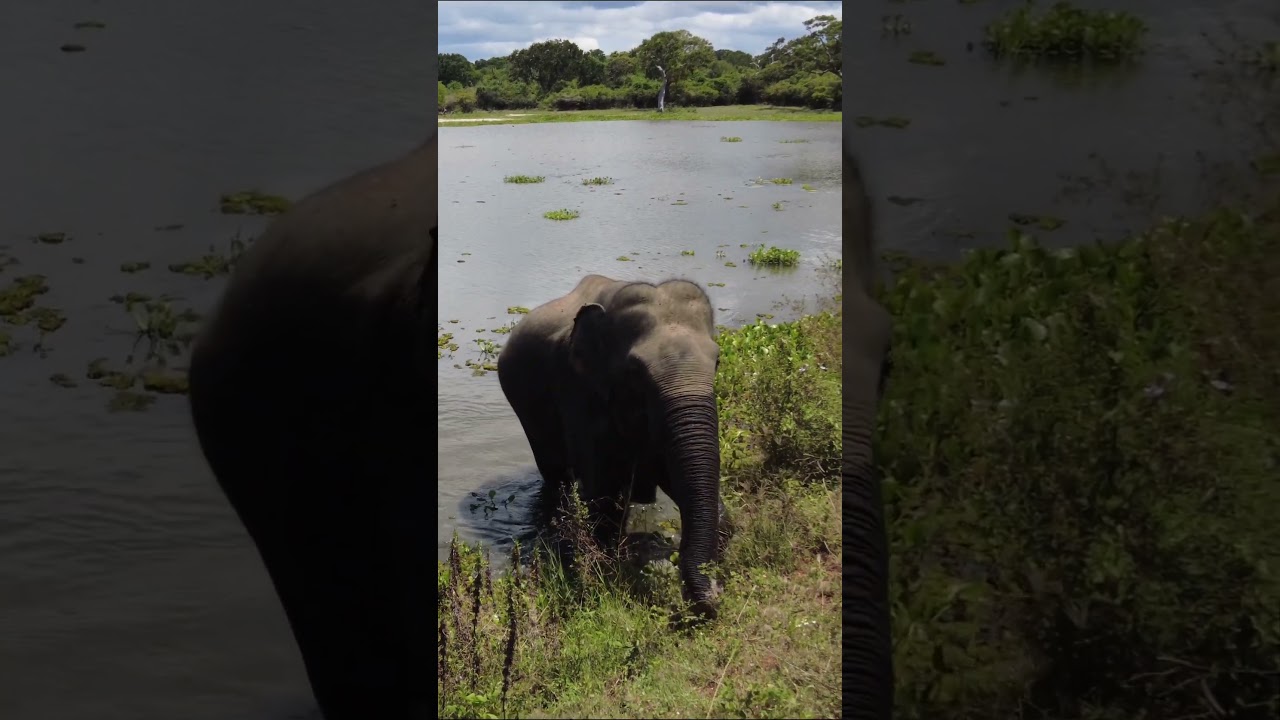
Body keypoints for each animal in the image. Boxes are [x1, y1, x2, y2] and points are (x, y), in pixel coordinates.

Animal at [496, 275, 732, 619]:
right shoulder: (580, 395)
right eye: (635, 371)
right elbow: (603, 498)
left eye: (717, 361)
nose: (714, 596)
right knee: (555, 475)